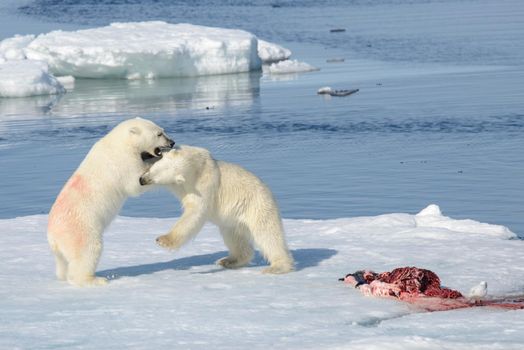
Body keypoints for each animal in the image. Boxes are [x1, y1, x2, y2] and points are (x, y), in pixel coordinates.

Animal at [47, 118, 174, 288]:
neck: (118, 142)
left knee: (62, 263)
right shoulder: (122, 161)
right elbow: (135, 183)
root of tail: (53, 236)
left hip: (61, 248)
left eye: (163, 130)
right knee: (88, 251)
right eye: (159, 133)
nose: (172, 142)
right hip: (80, 230)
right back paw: (94, 279)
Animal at [139, 145, 294, 274]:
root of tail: (269, 192)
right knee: (235, 238)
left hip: (257, 206)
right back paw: (228, 261)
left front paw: (163, 240)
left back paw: (277, 267)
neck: (196, 168)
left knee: (268, 235)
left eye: (154, 177)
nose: (142, 180)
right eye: (152, 170)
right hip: (232, 221)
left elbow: (194, 212)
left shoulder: (203, 186)